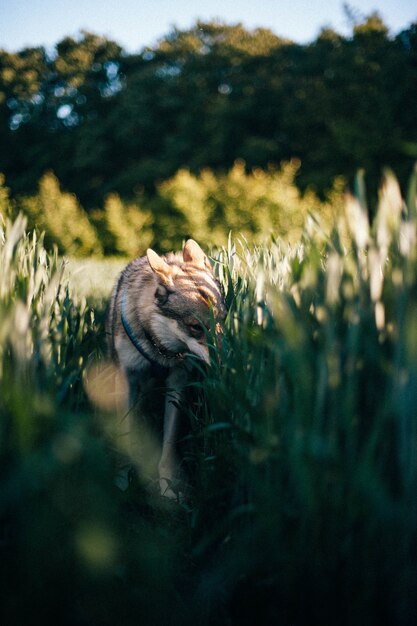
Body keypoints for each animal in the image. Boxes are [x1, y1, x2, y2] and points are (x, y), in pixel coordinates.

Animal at [105, 239, 226, 498]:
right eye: (195, 327)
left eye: (222, 319)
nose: (228, 362)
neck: (160, 349)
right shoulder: (128, 381)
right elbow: (124, 433)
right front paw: (122, 479)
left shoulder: (177, 382)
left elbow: (168, 444)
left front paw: (168, 487)